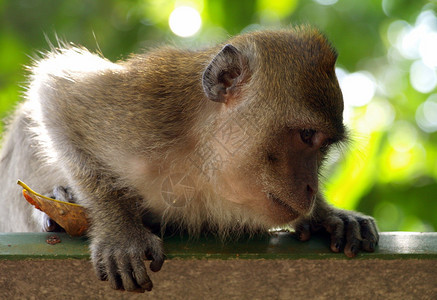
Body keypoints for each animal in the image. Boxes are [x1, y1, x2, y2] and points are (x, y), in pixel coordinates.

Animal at [0, 27, 378, 292]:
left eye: (324, 146)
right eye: (306, 136)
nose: (311, 188)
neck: (200, 161)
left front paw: (327, 215)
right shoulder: (141, 111)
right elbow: (56, 91)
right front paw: (119, 230)